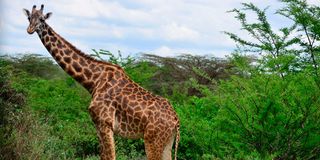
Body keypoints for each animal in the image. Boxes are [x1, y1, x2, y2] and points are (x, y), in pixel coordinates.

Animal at [23, 4, 180, 159]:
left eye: (42, 19)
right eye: (29, 17)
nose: (30, 30)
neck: (93, 81)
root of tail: (176, 120)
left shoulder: (105, 123)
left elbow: (110, 156)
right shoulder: (98, 125)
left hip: (152, 139)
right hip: (167, 142)